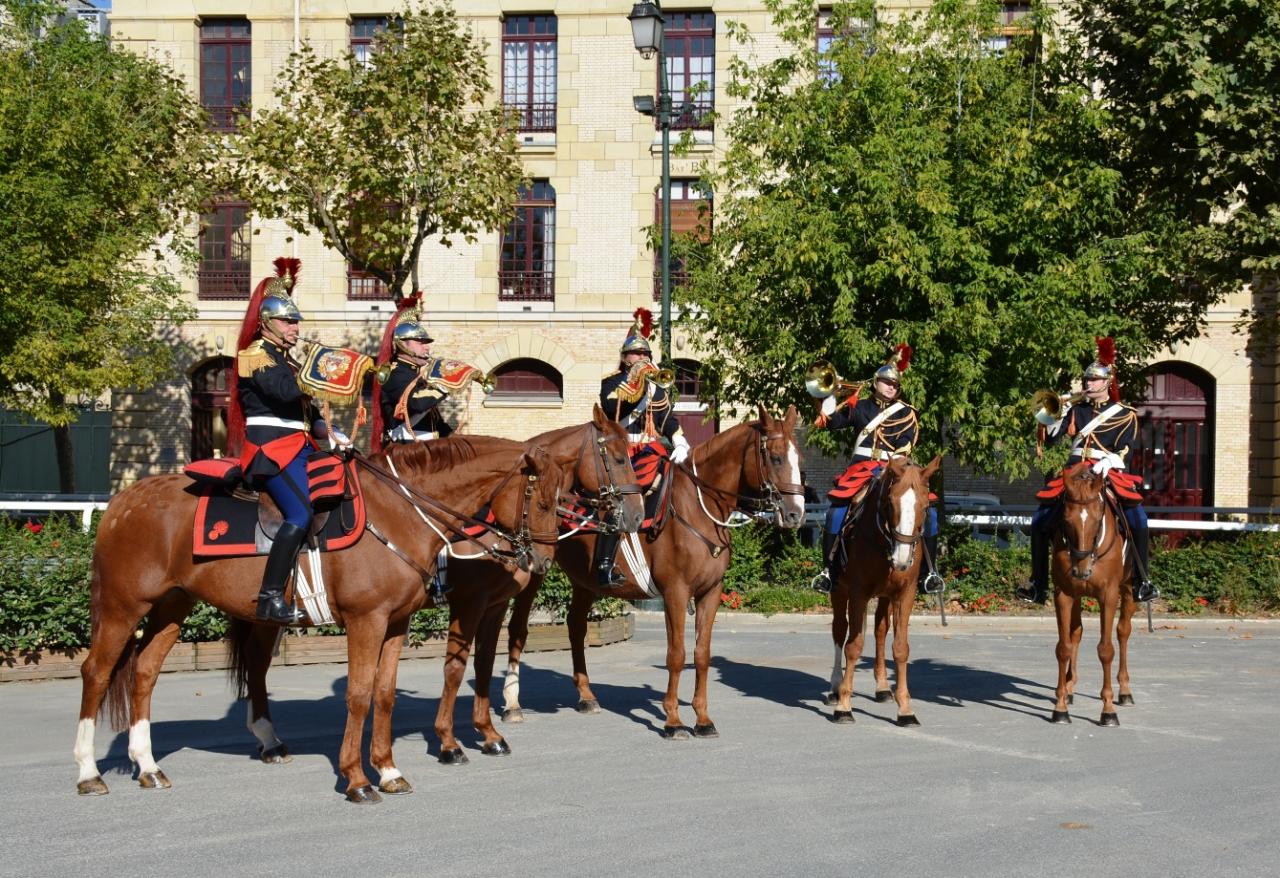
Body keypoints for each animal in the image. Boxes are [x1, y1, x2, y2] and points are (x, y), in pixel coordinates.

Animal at [72, 440, 563, 803]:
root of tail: (125, 498)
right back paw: (88, 771)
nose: (540, 560)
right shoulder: (371, 620)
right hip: (122, 605)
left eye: (561, 501)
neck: (401, 511)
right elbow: (362, 695)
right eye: (541, 500)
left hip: (174, 605)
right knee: (97, 672)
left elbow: (385, 695)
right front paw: (359, 779)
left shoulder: (397, 623)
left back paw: (148, 765)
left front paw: (388, 769)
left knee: (145, 672)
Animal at [225, 407, 645, 767]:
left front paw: (487, 732)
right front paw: (448, 741)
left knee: (257, 660)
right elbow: (455, 668)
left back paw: (268, 738)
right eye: (619, 457)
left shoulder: (494, 605)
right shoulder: (471, 601)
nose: (636, 515)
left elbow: (483, 661)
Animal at [496, 409, 803, 737]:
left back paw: (586, 696)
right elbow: (677, 655)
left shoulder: (711, 592)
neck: (699, 507)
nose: (796, 513)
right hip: (533, 572)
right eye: (776, 458)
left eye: (799, 458)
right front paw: (673, 721)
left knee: (576, 626)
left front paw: (703, 719)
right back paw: (512, 704)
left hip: (585, 581)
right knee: (518, 629)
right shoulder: (676, 593)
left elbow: (702, 654)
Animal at [824, 458, 947, 726]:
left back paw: (882, 687)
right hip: (839, 591)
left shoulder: (904, 594)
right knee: (840, 631)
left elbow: (900, 648)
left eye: (925, 506)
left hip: (884, 597)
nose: (902, 559)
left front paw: (905, 709)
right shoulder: (857, 592)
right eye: (891, 503)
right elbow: (854, 645)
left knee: (880, 630)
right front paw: (844, 706)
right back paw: (835, 686)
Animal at [1049, 463, 1141, 726]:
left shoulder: (1108, 596)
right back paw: (1069, 688)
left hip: (1129, 590)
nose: (1081, 570)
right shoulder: (1064, 594)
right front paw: (1060, 706)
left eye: (1098, 518)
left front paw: (1108, 709)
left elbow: (1106, 650)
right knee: (1076, 633)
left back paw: (1125, 690)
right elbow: (1064, 647)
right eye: (1066, 519)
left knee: (1123, 632)